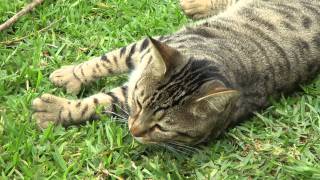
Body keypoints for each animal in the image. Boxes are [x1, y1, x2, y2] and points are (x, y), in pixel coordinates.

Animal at [31, 0, 320, 146]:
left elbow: (99, 101)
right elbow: (106, 60)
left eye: (161, 127)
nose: (135, 131)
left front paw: (55, 110)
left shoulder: (128, 90)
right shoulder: (146, 46)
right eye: (139, 103)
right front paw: (71, 75)